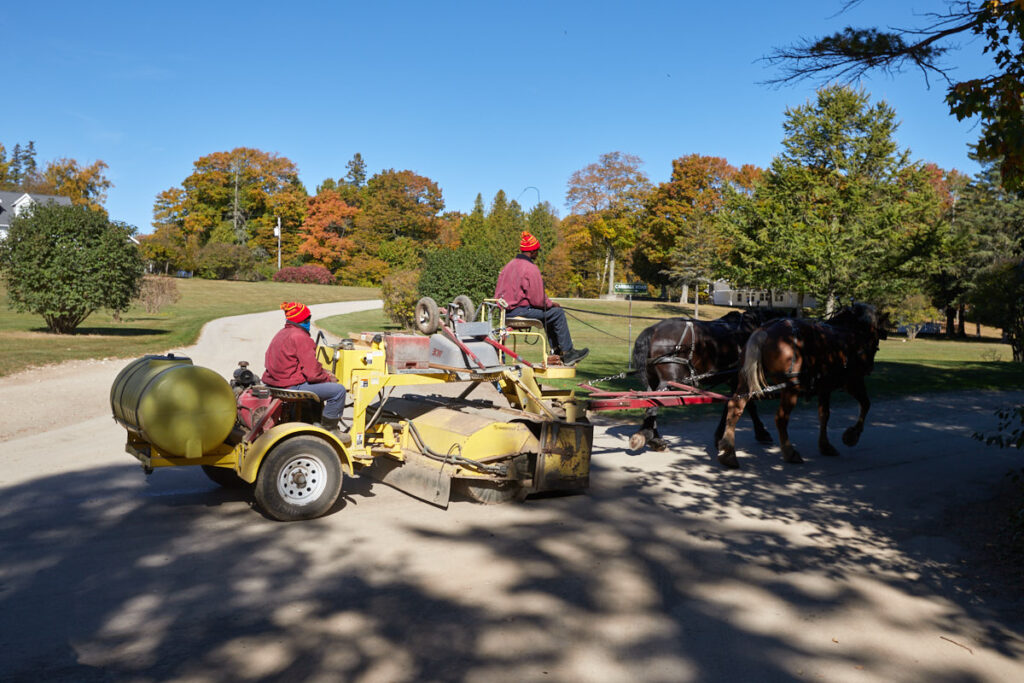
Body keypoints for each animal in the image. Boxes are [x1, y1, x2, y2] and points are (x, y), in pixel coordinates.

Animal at [626, 307, 786, 450]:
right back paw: (651, 438)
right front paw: (762, 433)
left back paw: (653, 437)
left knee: (650, 403)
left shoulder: (731, 380)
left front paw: (719, 436)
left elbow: (730, 404)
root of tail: (653, 330)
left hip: (654, 381)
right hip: (668, 382)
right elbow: (747, 405)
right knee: (652, 406)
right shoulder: (739, 379)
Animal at [712, 305, 888, 471]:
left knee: (735, 406)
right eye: (876, 334)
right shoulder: (852, 381)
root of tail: (764, 330)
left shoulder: (825, 387)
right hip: (791, 388)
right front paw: (852, 435)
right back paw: (789, 452)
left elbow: (824, 415)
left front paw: (825, 445)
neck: (852, 334)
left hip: (745, 380)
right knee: (781, 418)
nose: (870, 365)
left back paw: (728, 453)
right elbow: (866, 404)